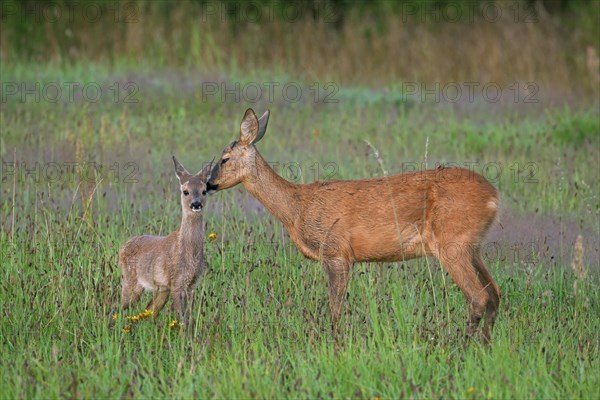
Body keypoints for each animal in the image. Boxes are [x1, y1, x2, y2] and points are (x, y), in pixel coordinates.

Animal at [117, 156, 211, 324]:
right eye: (185, 191)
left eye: (204, 191)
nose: (196, 204)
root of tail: (122, 247)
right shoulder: (177, 282)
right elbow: (182, 320)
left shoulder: (192, 284)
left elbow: (188, 319)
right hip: (131, 280)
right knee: (119, 308)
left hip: (161, 289)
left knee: (149, 312)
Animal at [206, 110, 502, 344]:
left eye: (224, 159)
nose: (209, 184)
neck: (296, 208)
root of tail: (494, 197)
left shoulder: (336, 252)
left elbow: (335, 310)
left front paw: (335, 345)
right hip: (472, 246)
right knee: (495, 294)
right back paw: (484, 346)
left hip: (452, 242)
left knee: (478, 297)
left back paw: (461, 348)